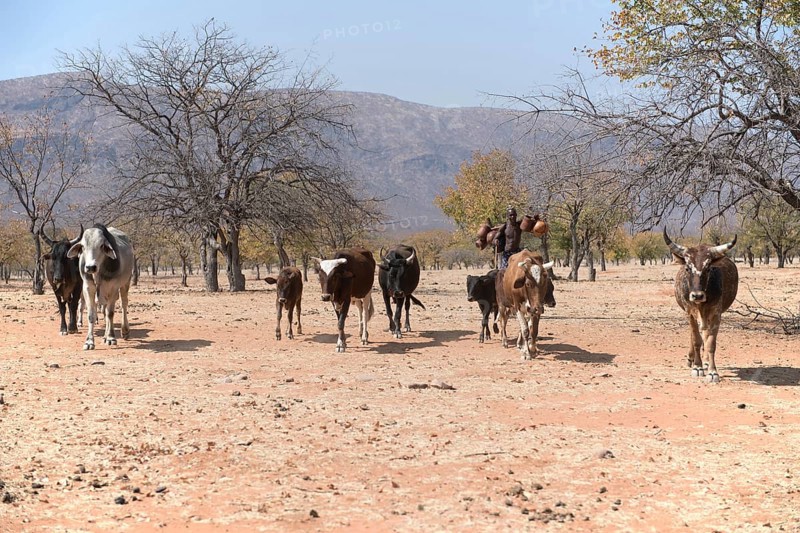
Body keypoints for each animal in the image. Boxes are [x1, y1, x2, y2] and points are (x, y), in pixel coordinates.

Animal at [664, 229, 738, 382]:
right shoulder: (690, 312)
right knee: (695, 335)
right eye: (687, 268)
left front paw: (712, 372)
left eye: (708, 268)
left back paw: (705, 362)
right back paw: (691, 359)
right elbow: (696, 340)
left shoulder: (716, 314)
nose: (697, 296)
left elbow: (710, 342)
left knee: (705, 334)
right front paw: (697, 367)